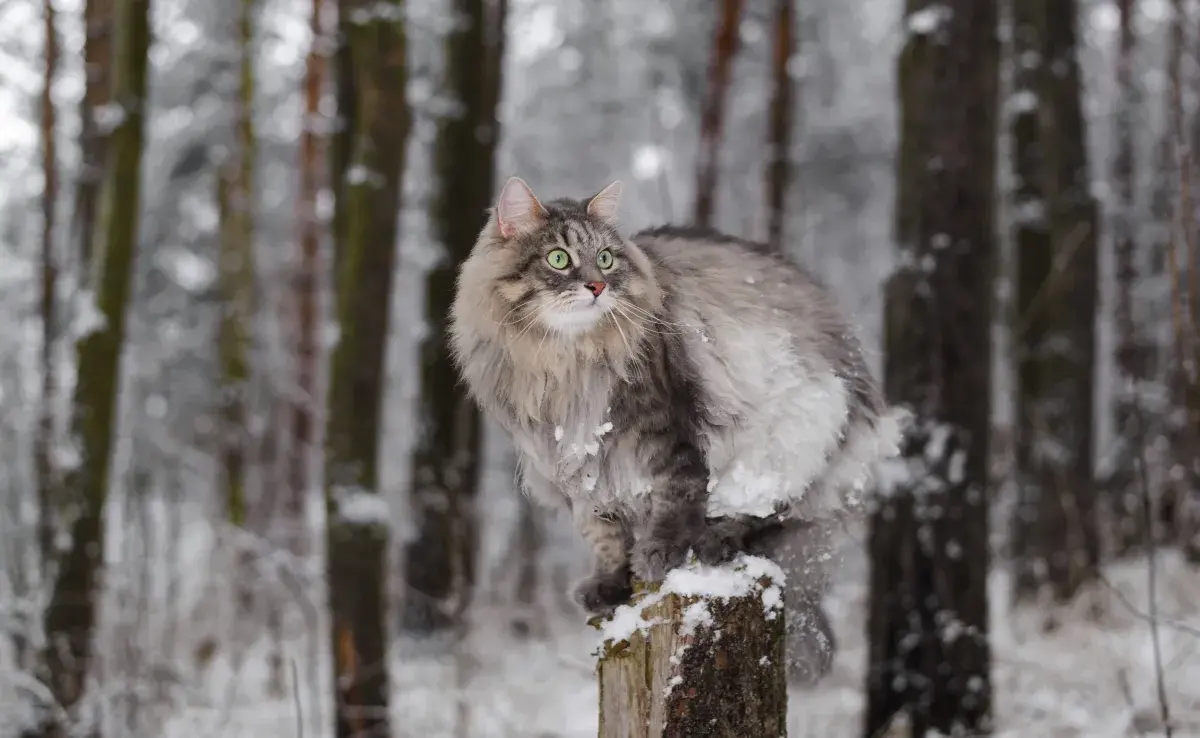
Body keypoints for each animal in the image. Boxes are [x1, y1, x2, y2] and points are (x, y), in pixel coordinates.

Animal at [448, 176, 902, 686]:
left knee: (766, 513)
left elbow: (675, 497)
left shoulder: (665, 433)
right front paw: (610, 584)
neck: (564, 363)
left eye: (605, 258)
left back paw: (716, 538)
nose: (597, 286)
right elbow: (603, 535)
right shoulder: (578, 467)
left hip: (791, 436)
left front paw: (659, 552)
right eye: (558, 259)